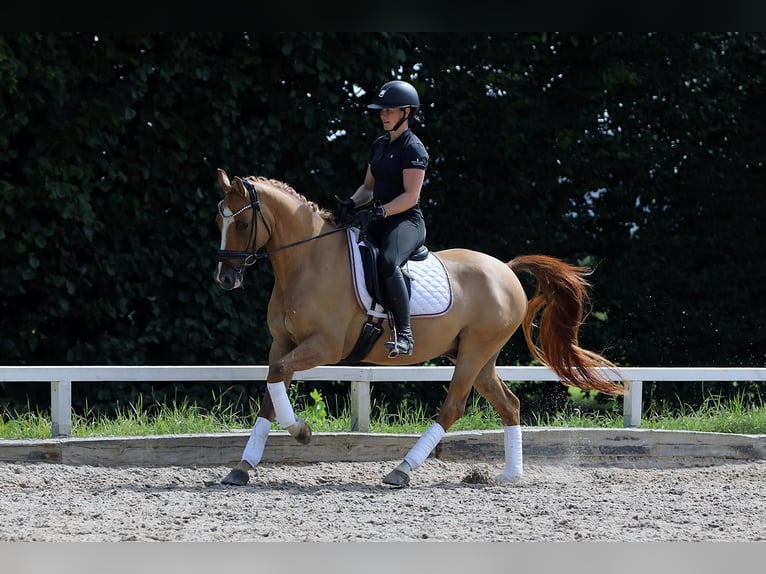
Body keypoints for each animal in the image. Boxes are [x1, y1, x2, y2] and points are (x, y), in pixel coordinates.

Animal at [214, 169, 624, 488]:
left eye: (244, 224)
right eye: (220, 222)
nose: (225, 279)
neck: (309, 261)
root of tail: (505, 269)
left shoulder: (325, 347)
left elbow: (278, 380)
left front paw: (301, 432)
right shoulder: (282, 343)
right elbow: (271, 388)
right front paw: (243, 468)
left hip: (474, 352)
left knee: (453, 407)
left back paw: (402, 470)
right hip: (479, 356)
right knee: (509, 404)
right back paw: (510, 475)